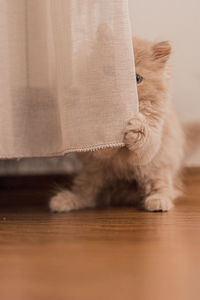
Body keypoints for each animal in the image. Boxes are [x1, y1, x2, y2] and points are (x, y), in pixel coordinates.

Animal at [48, 36, 186, 212]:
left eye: (137, 79)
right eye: (109, 71)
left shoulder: (152, 143)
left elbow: (144, 138)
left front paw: (136, 128)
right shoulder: (94, 144)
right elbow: (102, 145)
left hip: (157, 167)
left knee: (163, 187)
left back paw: (159, 201)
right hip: (94, 171)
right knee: (87, 194)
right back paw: (66, 200)